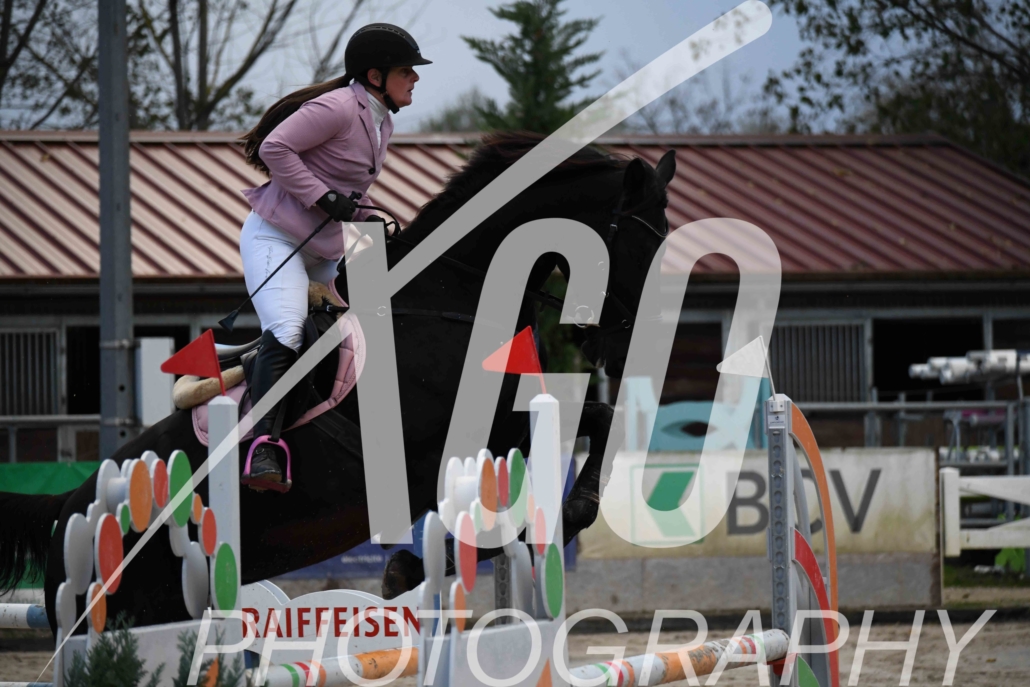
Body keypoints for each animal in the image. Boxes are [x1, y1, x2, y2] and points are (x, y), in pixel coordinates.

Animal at [0, 132, 675, 635]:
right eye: (637, 243)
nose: (628, 341)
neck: (455, 297)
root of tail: (64, 509)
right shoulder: (454, 438)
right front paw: (406, 568)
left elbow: (598, 418)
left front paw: (572, 510)